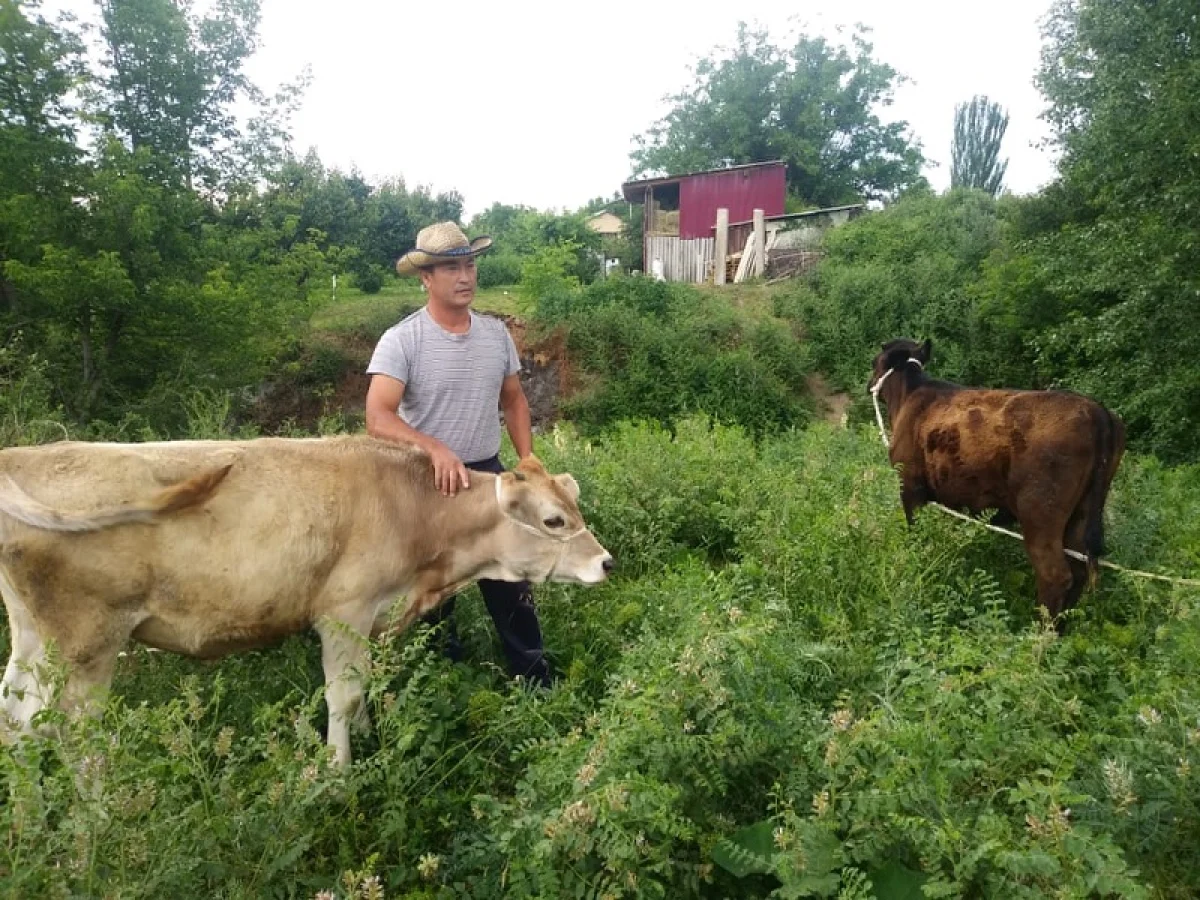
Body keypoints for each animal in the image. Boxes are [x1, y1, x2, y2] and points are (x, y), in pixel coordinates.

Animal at [0, 436, 614, 768]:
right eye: (553, 520)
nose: (606, 562)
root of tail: (21, 457)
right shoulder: (344, 612)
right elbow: (341, 695)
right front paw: (339, 771)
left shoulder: (371, 621)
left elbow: (362, 689)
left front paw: (367, 738)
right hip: (86, 643)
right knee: (70, 735)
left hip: (33, 636)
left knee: (17, 718)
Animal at [873, 338, 1123, 628]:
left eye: (874, 362)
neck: (911, 396)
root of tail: (1096, 411)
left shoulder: (910, 488)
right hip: (1082, 514)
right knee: (1079, 571)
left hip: (1040, 515)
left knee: (1056, 575)